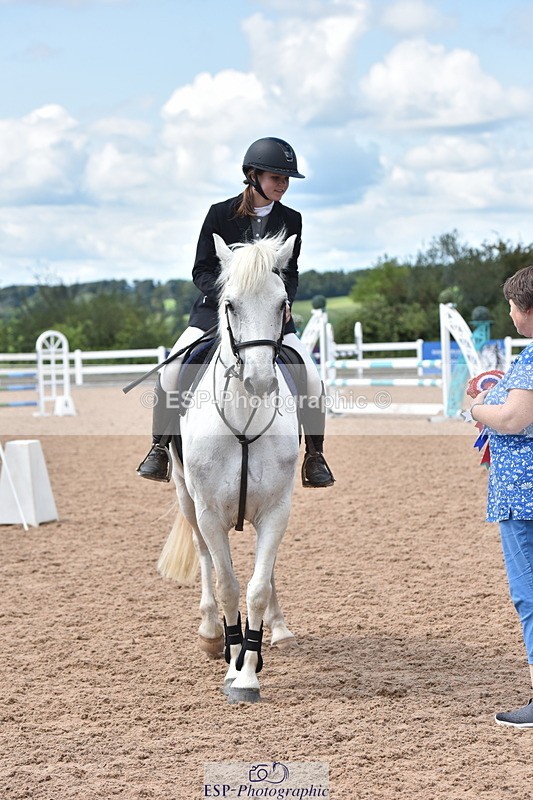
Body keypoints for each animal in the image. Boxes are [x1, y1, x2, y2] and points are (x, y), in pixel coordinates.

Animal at [157, 231, 301, 703]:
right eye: (230, 304)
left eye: (281, 303)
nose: (260, 381)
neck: (243, 417)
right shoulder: (209, 513)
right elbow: (226, 584)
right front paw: (231, 657)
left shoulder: (276, 510)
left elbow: (255, 586)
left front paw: (249, 672)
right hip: (186, 498)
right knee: (203, 558)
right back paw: (209, 634)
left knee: (264, 573)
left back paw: (279, 629)